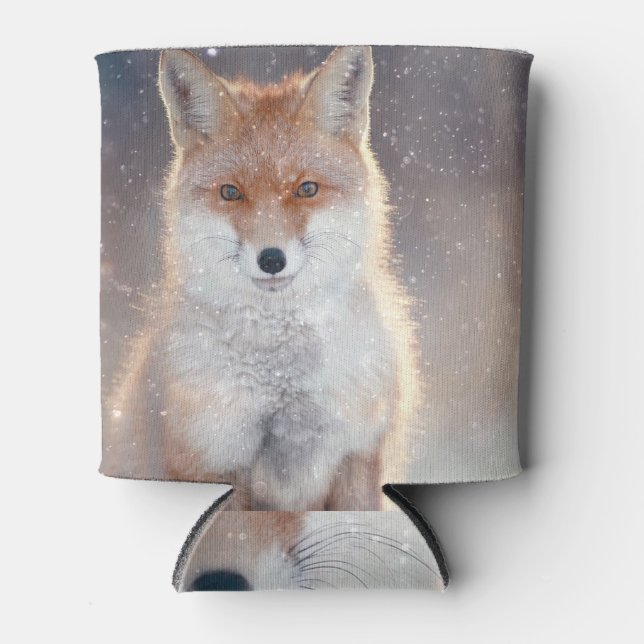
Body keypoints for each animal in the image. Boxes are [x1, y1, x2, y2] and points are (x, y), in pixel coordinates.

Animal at [102, 46, 419, 511]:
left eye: (307, 189)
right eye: (231, 193)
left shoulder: (358, 454)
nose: (271, 259)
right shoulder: (213, 462)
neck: (282, 384)